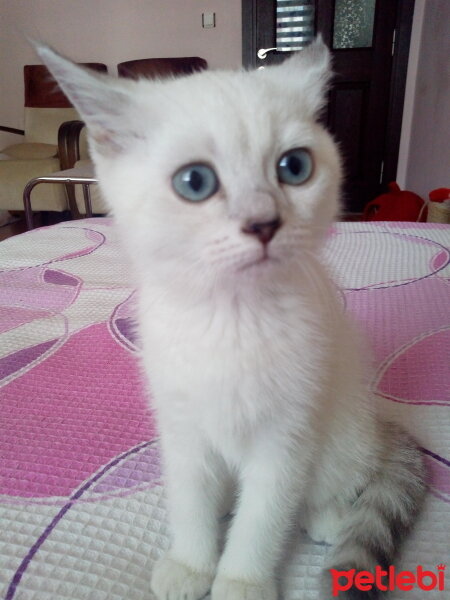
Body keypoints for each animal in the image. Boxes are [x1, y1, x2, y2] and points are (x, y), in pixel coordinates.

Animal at [37, 38, 426, 600]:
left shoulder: (285, 438)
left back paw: (329, 518)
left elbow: (261, 521)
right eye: (194, 181)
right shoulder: (181, 426)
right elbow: (192, 503)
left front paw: (241, 581)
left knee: (336, 484)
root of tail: (380, 423)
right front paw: (191, 564)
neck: (231, 316)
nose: (264, 223)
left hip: (341, 428)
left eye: (294, 167)